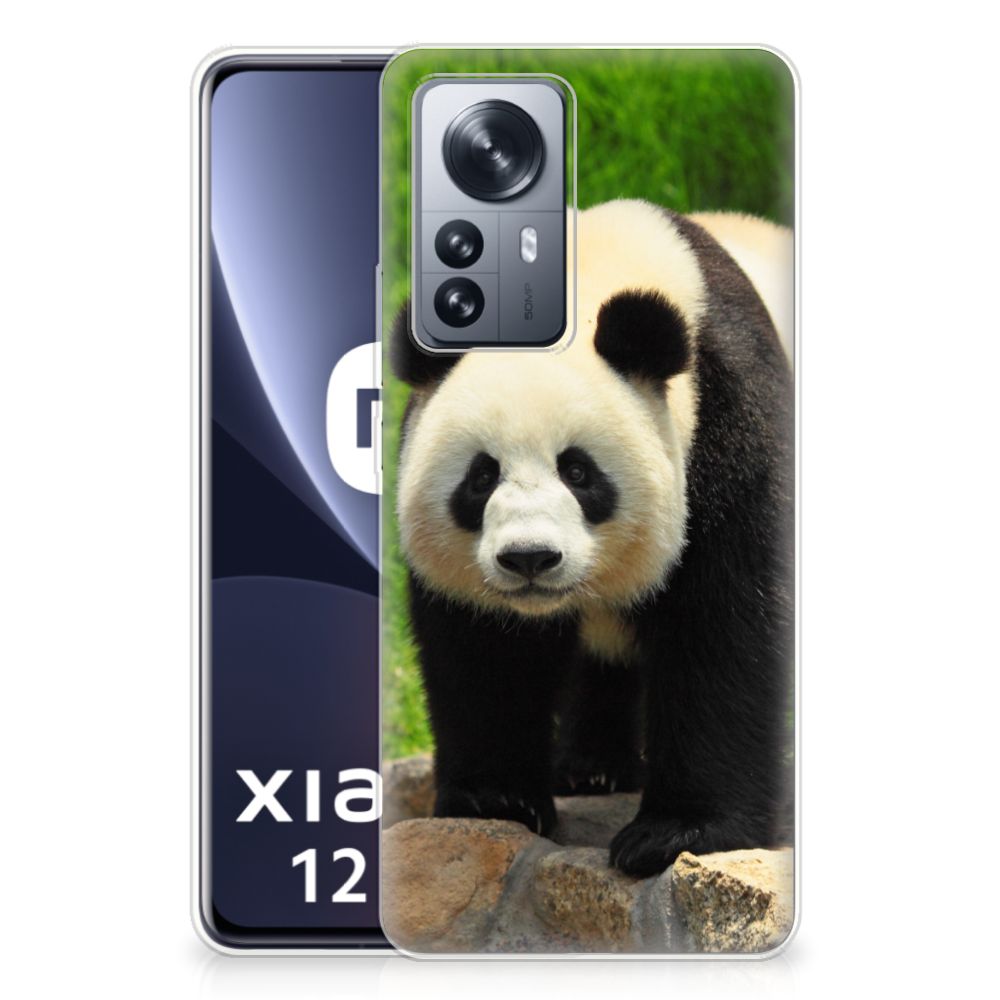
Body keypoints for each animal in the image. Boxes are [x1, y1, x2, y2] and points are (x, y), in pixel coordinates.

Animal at [390, 199, 794, 878]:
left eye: (578, 472)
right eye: (481, 476)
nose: (529, 558)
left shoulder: (730, 422)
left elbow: (725, 626)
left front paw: (676, 833)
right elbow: (484, 650)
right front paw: (495, 799)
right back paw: (592, 769)